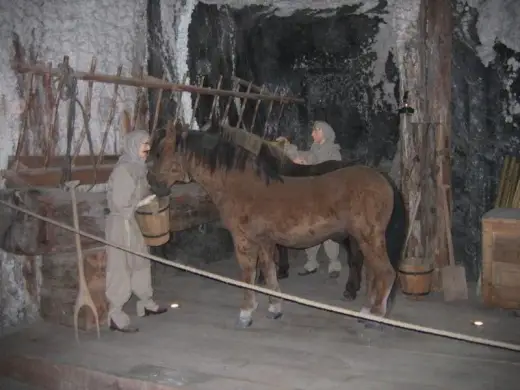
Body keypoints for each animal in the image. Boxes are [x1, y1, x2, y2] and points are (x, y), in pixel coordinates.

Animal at [146, 125, 406, 326]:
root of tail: (381, 177)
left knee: (385, 272)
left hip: (368, 237)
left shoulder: (243, 240)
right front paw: (275, 308)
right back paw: (366, 310)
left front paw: (246, 313)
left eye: (160, 153)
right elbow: (269, 271)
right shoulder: (264, 241)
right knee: (374, 273)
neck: (240, 184)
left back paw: (374, 317)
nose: (152, 183)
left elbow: (248, 273)